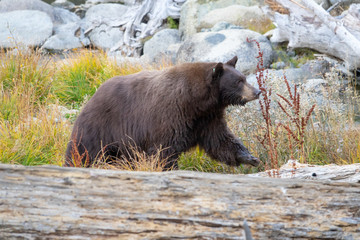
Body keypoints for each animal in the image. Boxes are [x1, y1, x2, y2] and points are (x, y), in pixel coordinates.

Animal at [64, 55, 260, 169]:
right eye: (238, 81)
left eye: (243, 78)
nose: (257, 91)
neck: (197, 101)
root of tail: (91, 97)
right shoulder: (170, 116)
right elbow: (164, 151)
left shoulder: (207, 119)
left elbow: (220, 140)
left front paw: (250, 157)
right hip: (100, 128)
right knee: (83, 151)